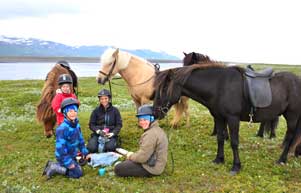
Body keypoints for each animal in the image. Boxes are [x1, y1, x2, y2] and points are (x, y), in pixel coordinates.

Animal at [152, 64, 301, 174]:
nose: (155, 112)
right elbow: (220, 139)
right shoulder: (219, 118)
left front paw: (236, 166)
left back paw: (281, 160)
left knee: (290, 137)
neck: (219, 86)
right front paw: (219, 159)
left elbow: (234, 142)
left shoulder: (232, 118)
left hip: (292, 116)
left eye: (164, 88)